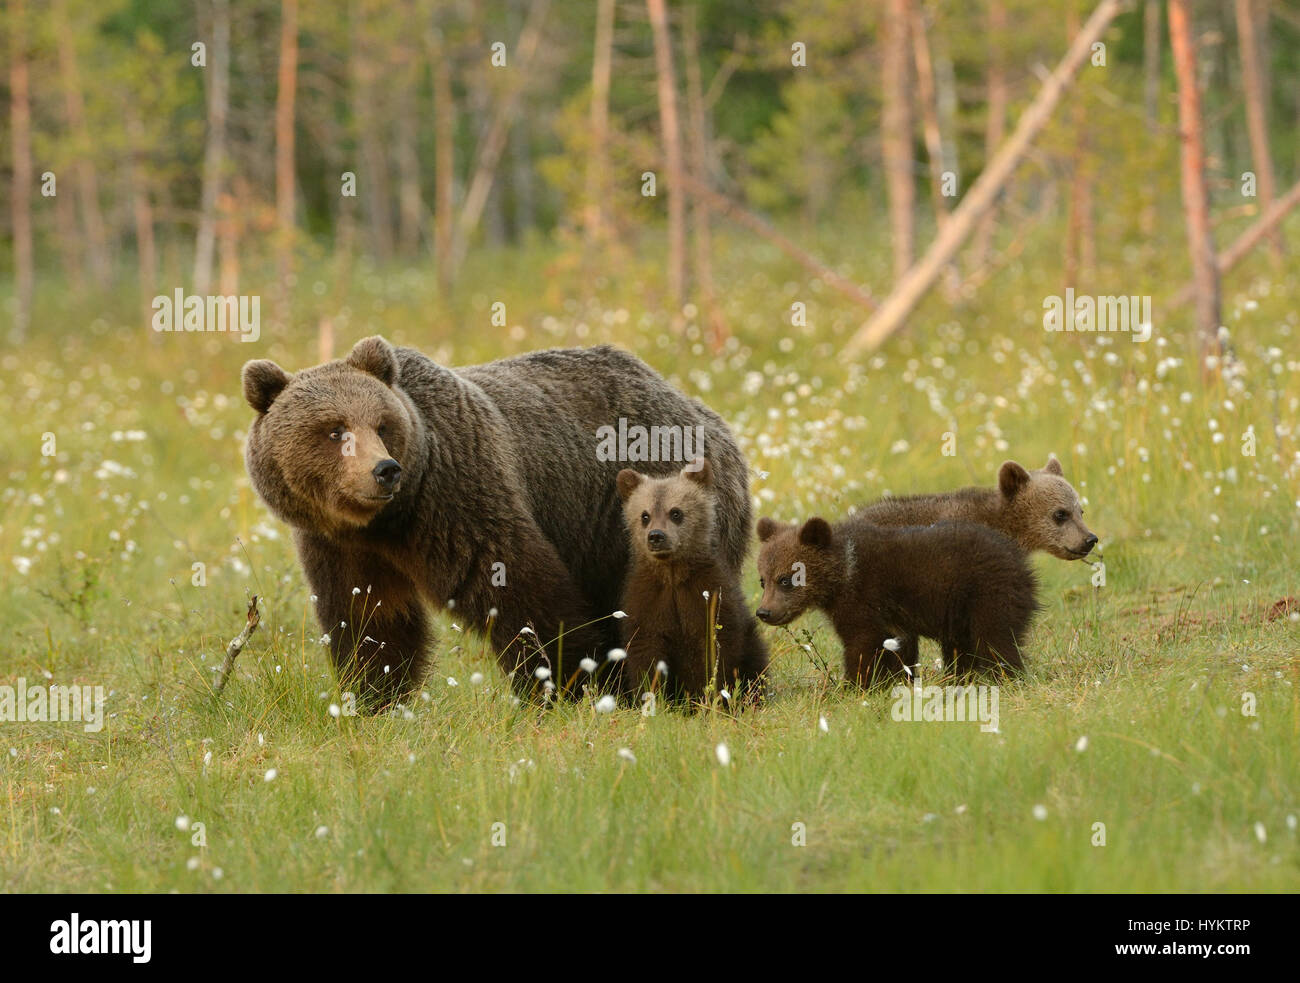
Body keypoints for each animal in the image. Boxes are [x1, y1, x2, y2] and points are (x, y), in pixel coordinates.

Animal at [241, 338, 754, 707]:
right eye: (334, 430)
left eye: (382, 424)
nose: (384, 470)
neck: (388, 523)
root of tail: (704, 412)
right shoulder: (339, 545)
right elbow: (370, 617)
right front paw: (374, 695)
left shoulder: (457, 495)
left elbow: (517, 585)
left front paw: (567, 682)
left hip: (651, 516)